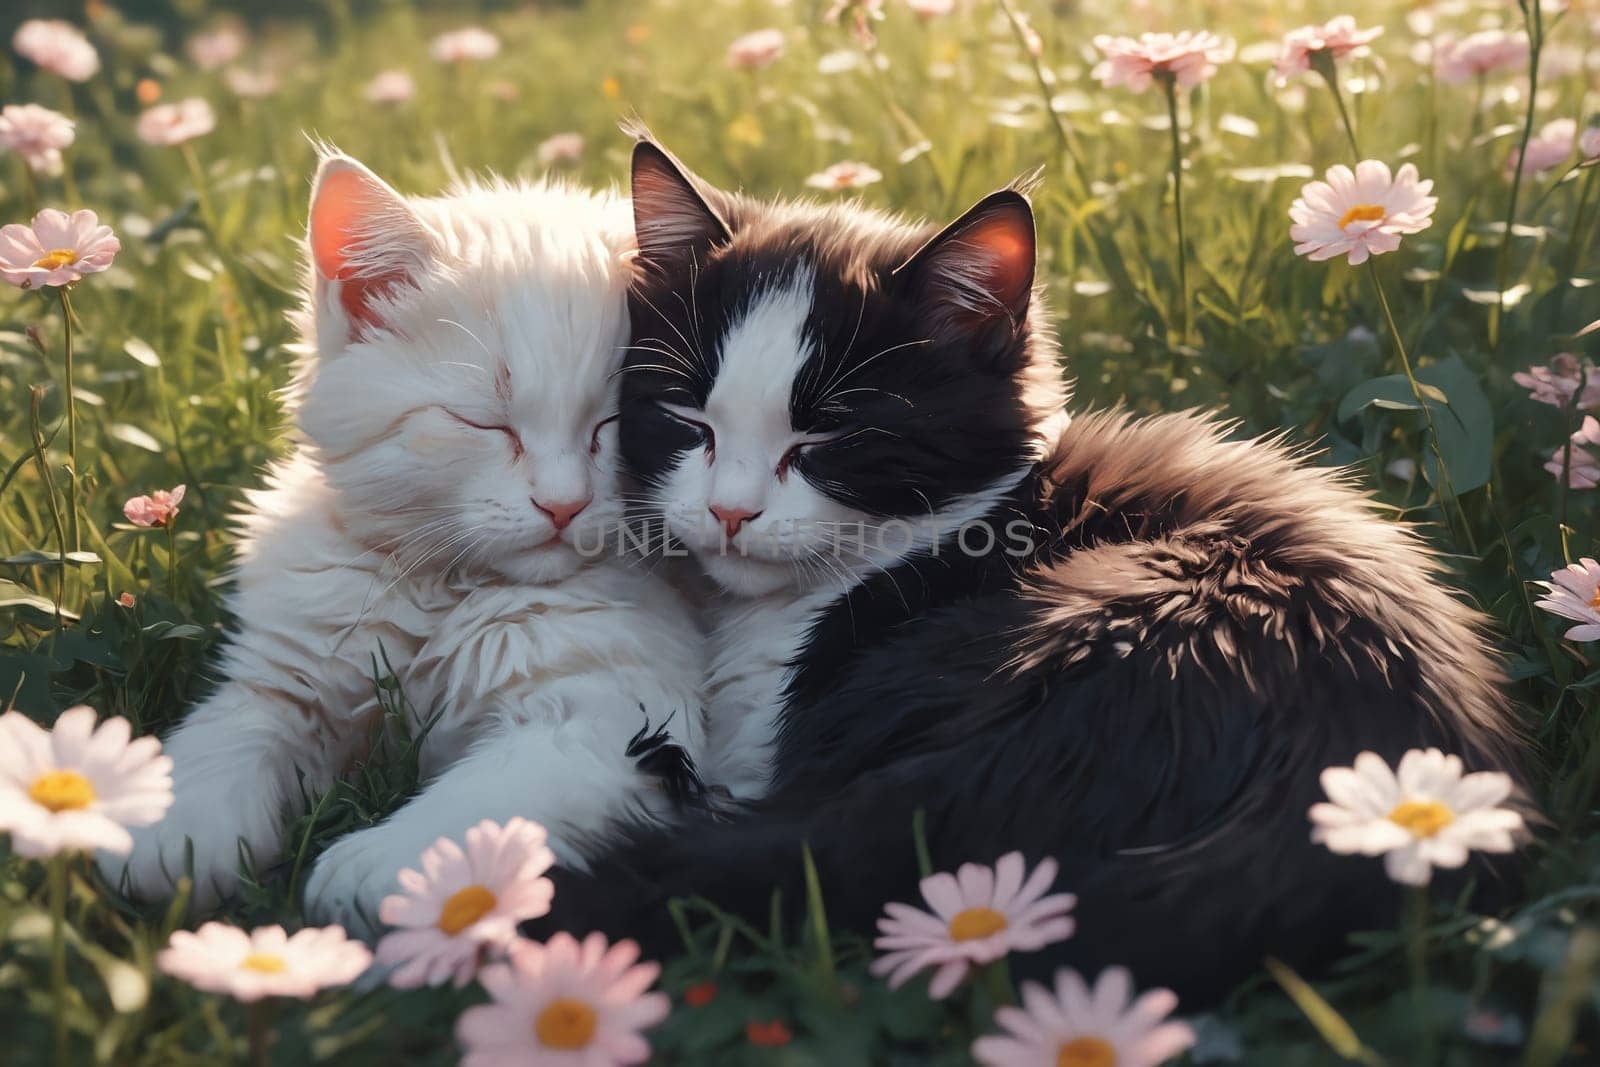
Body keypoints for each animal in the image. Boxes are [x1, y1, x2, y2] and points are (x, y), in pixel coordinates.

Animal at [98, 147, 700, 927]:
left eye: (615, 422)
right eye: (485, 423)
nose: (563, 505)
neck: (443, 591)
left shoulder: (615, 721)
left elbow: (482, 801)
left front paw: (382, 870)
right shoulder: (284, 685)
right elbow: (221, 742)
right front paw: (170, 835)